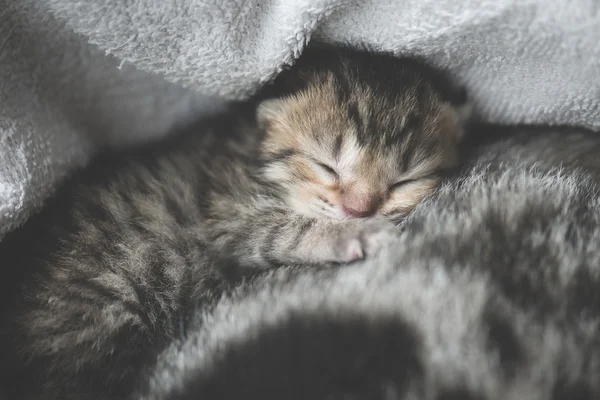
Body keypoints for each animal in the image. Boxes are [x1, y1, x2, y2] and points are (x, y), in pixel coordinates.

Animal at [0, 44, 468, 400]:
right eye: (325, 165)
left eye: (406, 181)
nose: (359, 209)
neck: (250, 151)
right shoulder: (227, 215)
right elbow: (287, 229)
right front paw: (354, 233)